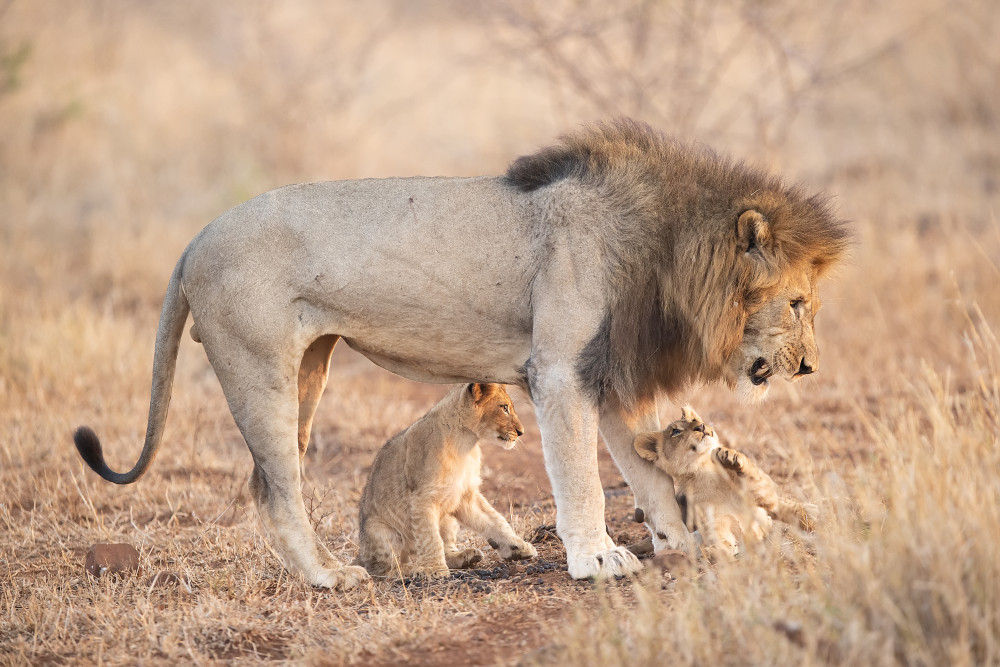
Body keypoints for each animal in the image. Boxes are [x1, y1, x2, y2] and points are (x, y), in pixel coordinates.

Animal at [356, 384, 536, 576]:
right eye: (504, 408)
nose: (521, 432)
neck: (465, 442)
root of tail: (361, 553)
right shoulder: (422, 498)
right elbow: (430, 537)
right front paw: (435, 569)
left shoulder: (467, 495)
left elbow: (496, 520)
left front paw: (518, 546)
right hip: (381, 530)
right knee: (383, 567)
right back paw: (411, 568)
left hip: (448, 519)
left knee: (446, 547)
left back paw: (465, 557)